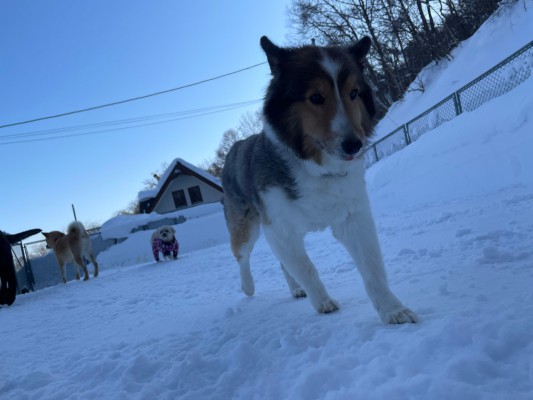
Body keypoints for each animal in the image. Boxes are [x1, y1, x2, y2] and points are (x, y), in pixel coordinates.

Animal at [220, 36, 416, 324]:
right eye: (315, 97)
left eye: (353, 93)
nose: (354, 145)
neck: (316, 169)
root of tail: (235, 148)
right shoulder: (278, 228)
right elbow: (305, 267)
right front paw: (323, 301)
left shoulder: (353, 217)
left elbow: (373, 268)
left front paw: (392, 309)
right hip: (246, 225)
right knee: (242, 256)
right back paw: (248, 286)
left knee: (283, 263)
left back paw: (296, 288)